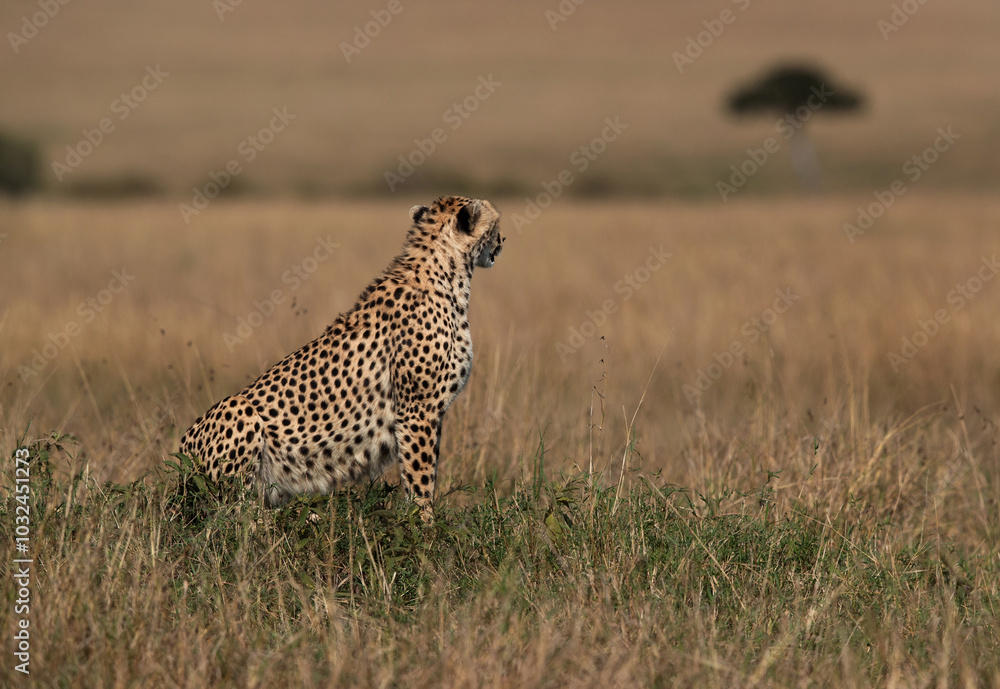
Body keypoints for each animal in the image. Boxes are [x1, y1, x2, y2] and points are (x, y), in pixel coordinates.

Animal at [178, 195, 504, 520]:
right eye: (496, 225)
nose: (503, 241)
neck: (447, 274)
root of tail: (181, 451)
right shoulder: (417, 411)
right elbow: (420, 479)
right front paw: (425, 524)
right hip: (238, 413)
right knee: (236, 516)